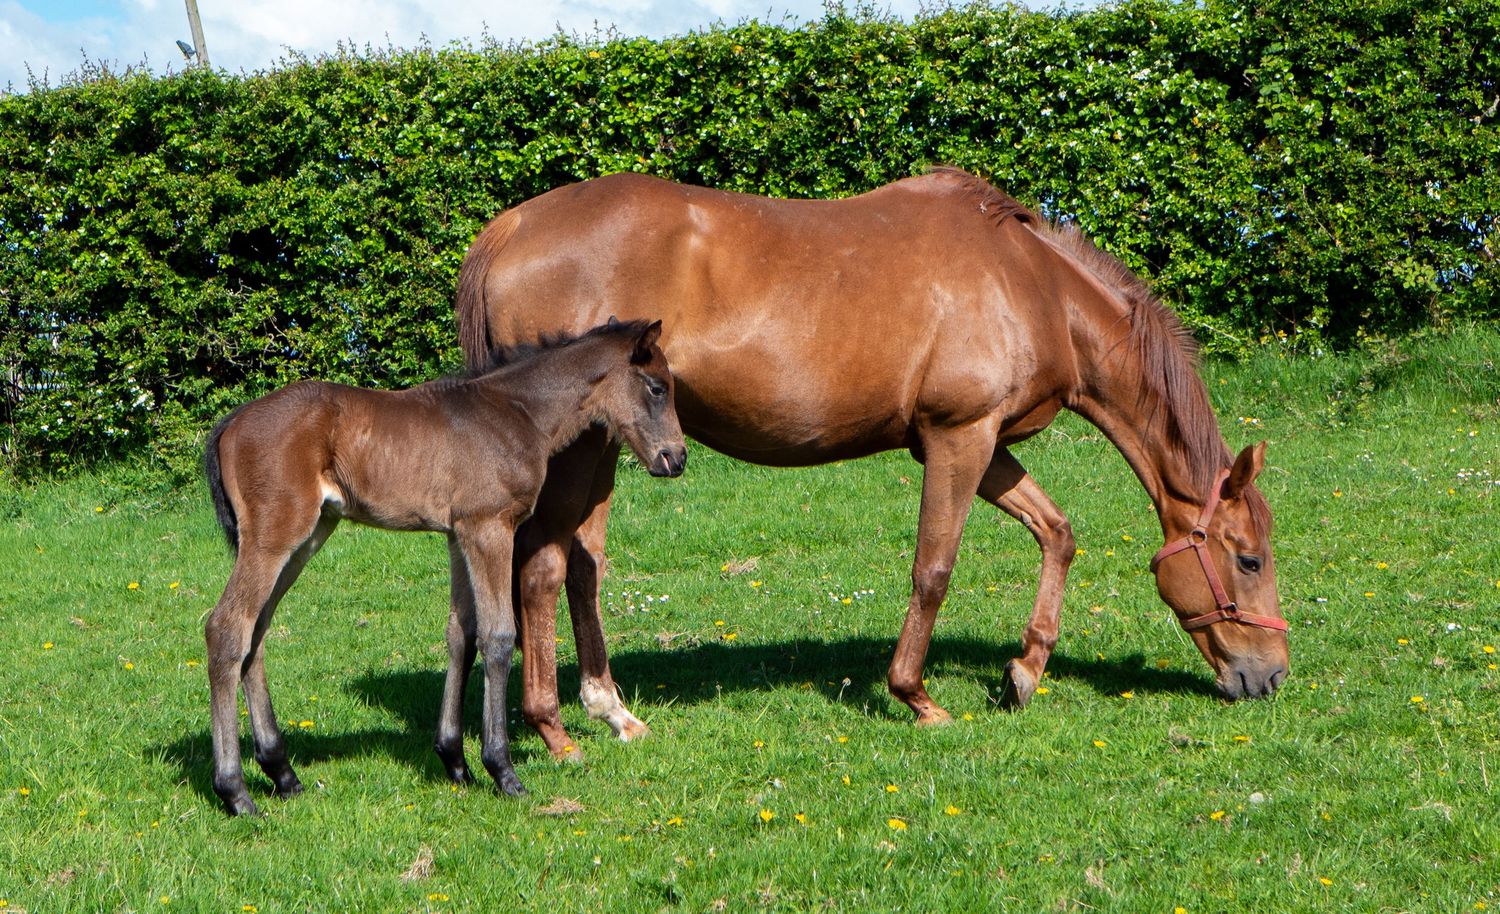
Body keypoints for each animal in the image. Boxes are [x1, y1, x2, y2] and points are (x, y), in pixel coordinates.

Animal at [201, 319, 685, 815]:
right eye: (656, 387)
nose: (675, 458)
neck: (517, 412)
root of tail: (230, 424)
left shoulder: (458, 535)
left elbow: (461, 634)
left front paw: (455, 761)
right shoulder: (489, 527)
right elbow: (498, 636)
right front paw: (502, 770)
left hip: (308, 538)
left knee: (256, 633)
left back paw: (283, 773)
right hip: (275, 536)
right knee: (227, 628)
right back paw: (235, 791)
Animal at [453, 167, 1289, 760]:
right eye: (1247, 559)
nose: (1271, 675)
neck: (1035, 286)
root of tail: (512, 227)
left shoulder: (982, 444)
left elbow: (1057, 533)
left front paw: (1023, 672)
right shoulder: (959, 438)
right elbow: (934, 569)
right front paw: (916, 697)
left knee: (580, 566)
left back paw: (611, 710)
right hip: (584, 451)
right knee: (543, 569)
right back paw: (555, 727)